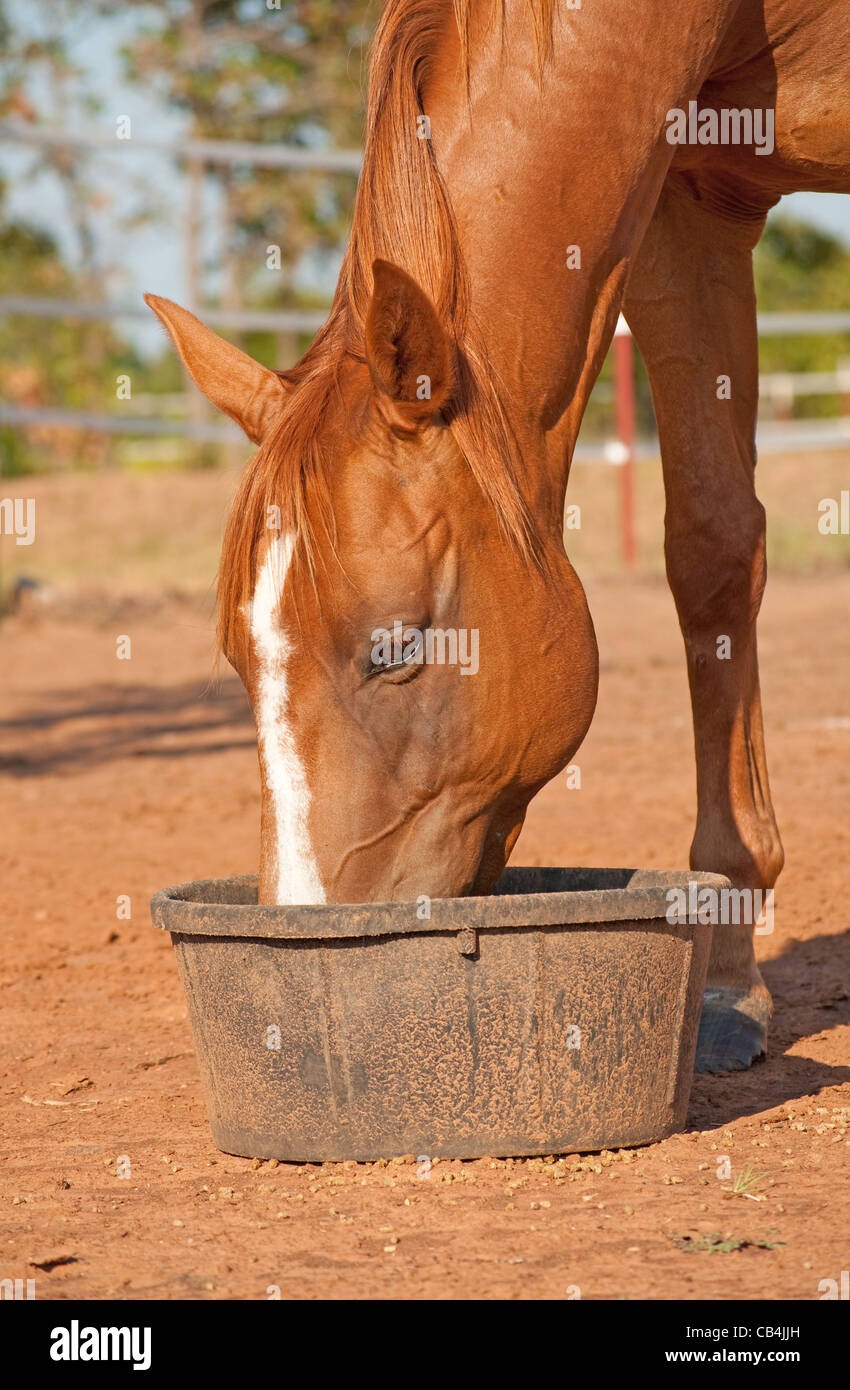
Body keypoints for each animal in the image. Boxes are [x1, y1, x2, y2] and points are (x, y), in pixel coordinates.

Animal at [149, 0, 849, 1073]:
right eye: (237, 658)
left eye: (396, 647)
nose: (312, 924)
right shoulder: (689, 204)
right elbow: (713, 547)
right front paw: (731, 986)